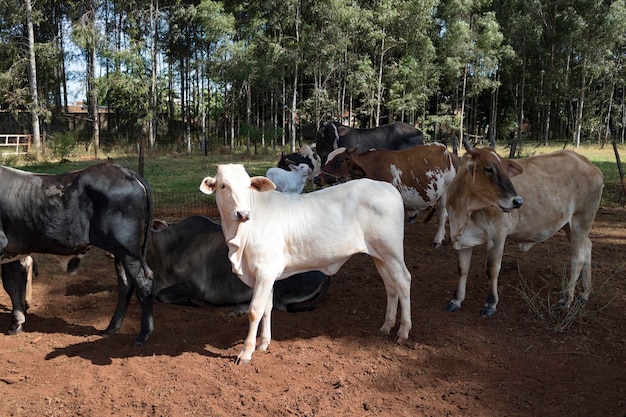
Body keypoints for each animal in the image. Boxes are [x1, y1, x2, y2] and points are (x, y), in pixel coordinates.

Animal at [0, 162, 154, 344]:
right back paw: (111, 328)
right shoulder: (11, 253)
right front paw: (16, 323)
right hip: (120, 253)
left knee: (143, 284)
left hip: (128, 251)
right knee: (125, 285)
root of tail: (125, 171)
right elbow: (13, 286)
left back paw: (143, 335)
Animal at [200, 162, 410, 364]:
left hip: (392, 251)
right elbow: (267, 308)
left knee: (403, 282)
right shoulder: (267, 274)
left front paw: (246, 353)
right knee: (390, 286)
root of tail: (387, 187)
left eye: (247, 185)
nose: (243, 213)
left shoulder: (265, 272)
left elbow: (255, 310)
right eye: (223, 185)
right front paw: (263, 343)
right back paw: (387, 325)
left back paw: (403, 332)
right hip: (379, 255)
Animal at [314, 143, 456, 247]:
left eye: (338, 160)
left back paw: (438, 240)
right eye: (327, 158)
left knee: (443, 215)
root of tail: (447, 150)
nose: (316, 178)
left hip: (446, 191)